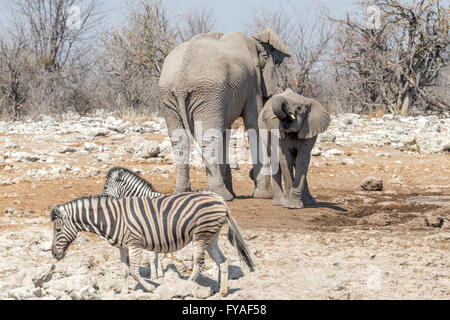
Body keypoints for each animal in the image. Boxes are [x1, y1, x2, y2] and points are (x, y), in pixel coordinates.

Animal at [50, 191, 255, 296]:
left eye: (58, 230)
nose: (54, 254)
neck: (111, 219)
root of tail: (219, 199)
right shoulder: (123, 247)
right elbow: (125, 271)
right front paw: (124, 294)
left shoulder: (134, 243)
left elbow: (134, 271)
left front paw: (149, 288)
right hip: (211, 237)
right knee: (223, 262)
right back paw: (223, 291)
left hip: (201, 236)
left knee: (199, 264)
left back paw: (185, 287)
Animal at [160, 30, 290, 200]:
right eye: (276, 64)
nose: (250, 174)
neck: (256, 42)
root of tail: (181, 80)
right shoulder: (252, 84)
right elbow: (254, 125)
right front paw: (264, 196)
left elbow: (225, 132)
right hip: (207, 93)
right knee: (208, 140)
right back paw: (222, 195)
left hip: (173, 96)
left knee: (180, 140)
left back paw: (183, 192)